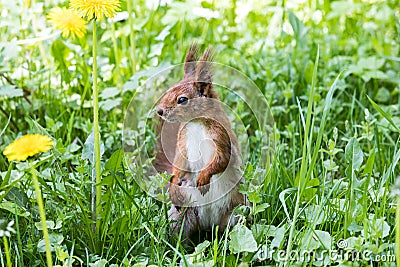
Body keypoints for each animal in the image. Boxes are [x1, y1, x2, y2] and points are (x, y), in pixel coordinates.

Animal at [155, 44, 247, 241]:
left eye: (182, 99)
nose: (159, 111)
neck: (196, 122)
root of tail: (208, 225)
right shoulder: (183, 140)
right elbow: (179, 164)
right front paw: (173, 184)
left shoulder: (221, 136)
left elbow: (222, 159)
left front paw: (203, 178)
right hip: (182, 214)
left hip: (238, 211)